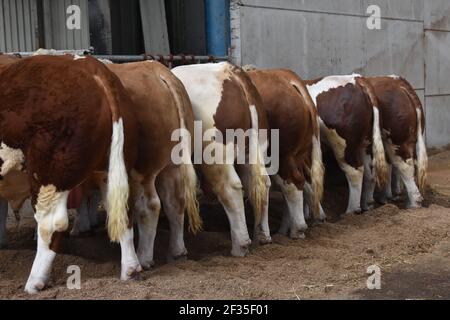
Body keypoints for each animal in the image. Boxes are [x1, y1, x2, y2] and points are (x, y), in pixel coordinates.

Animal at [0, 55, 141, 292]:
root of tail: (89, 65)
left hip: (48, 173)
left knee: (51, 224)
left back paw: (34, 282)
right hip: (112, 169)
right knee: (123, 212)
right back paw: (130, 269)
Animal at [172, 62, 270, 256]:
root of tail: (230, 70)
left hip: (215, 154)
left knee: (230, 188)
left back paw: (240, 245)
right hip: (254, 148)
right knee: (259, 184)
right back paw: (261, 236)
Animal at [304, 74, 388, 214]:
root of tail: (356, 78)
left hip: (343, 145)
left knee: (355, 172)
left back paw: (351, 211)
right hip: (366, 142)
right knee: (370, 171)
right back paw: (367, 204)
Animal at [366, 76, 426, 209]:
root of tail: (399, 82)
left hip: (396, 140)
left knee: (404, 166)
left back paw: (413, 203)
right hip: (406, 140)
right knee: (408, 164)